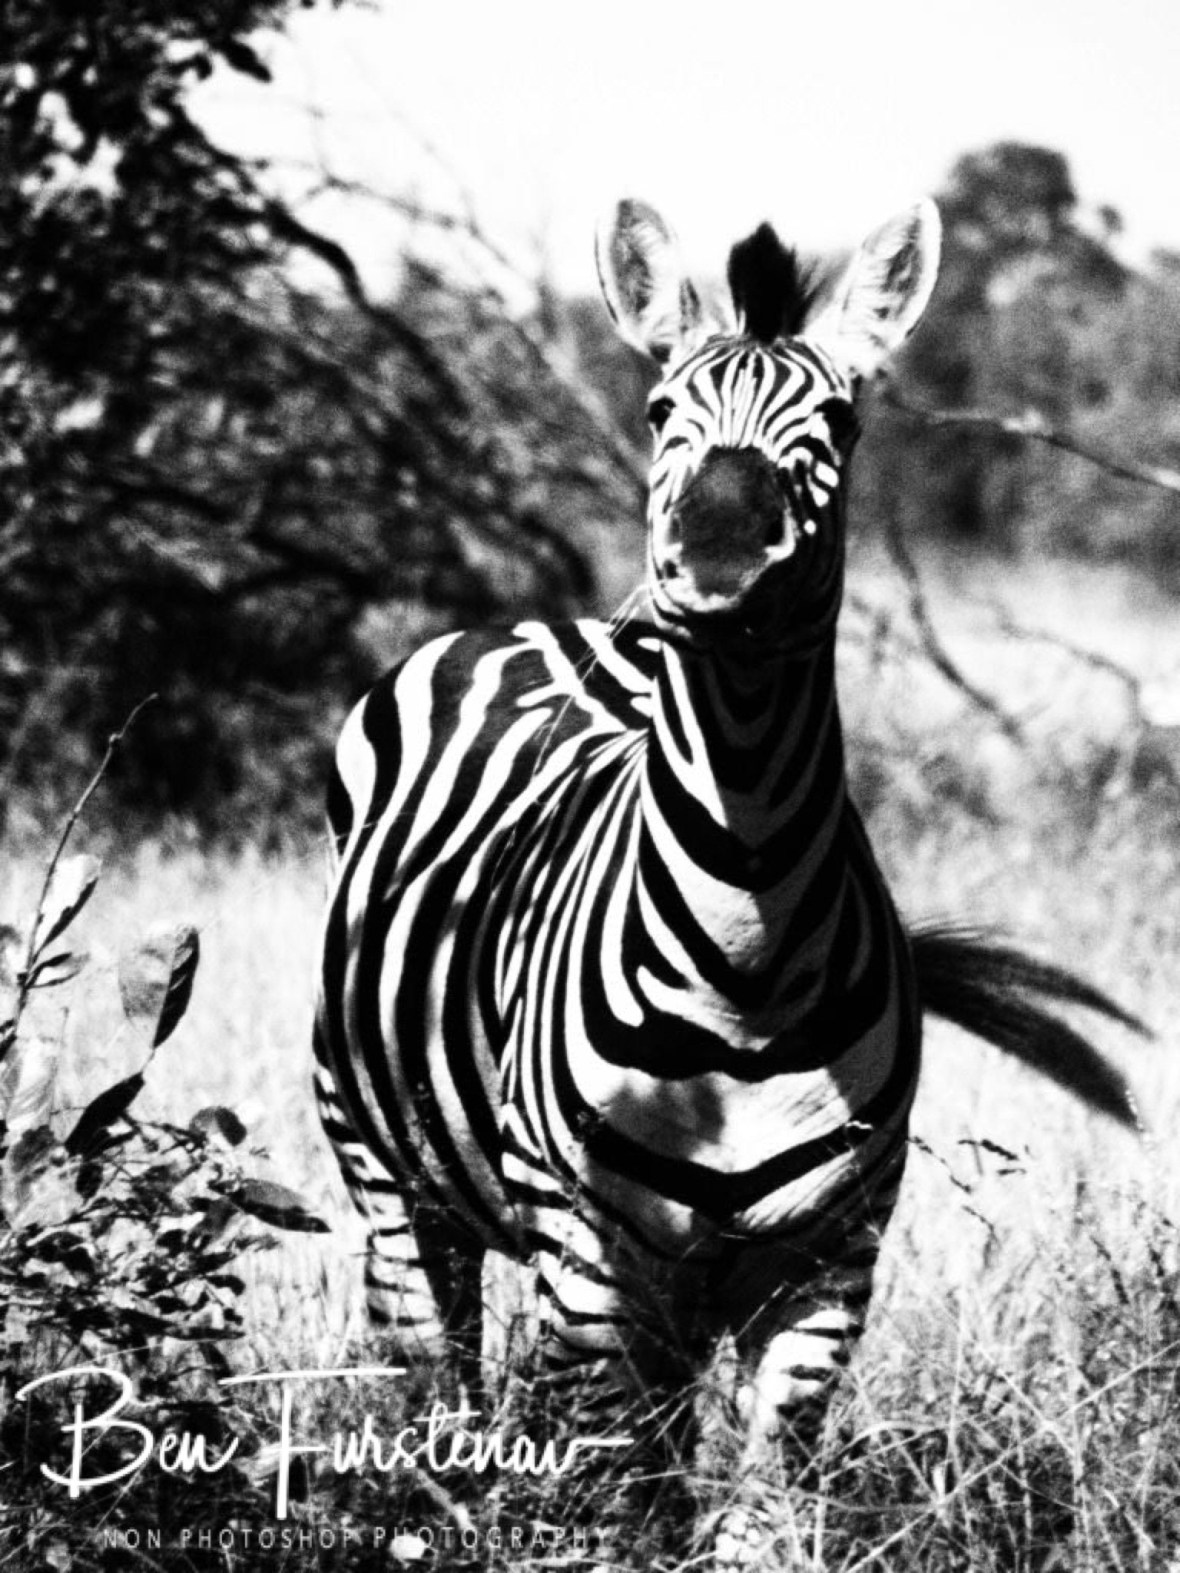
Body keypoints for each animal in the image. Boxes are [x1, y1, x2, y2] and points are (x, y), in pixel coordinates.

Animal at [313, 197, 1139, 1546]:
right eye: (658, 413)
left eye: (841, 422)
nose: (710, 569)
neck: (744, 954)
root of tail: (530, 624)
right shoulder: (589, 1251)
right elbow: (608, 1505)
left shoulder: (824, 1261)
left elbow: (754, 1510)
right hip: (396, 1184)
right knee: (436, 1378)